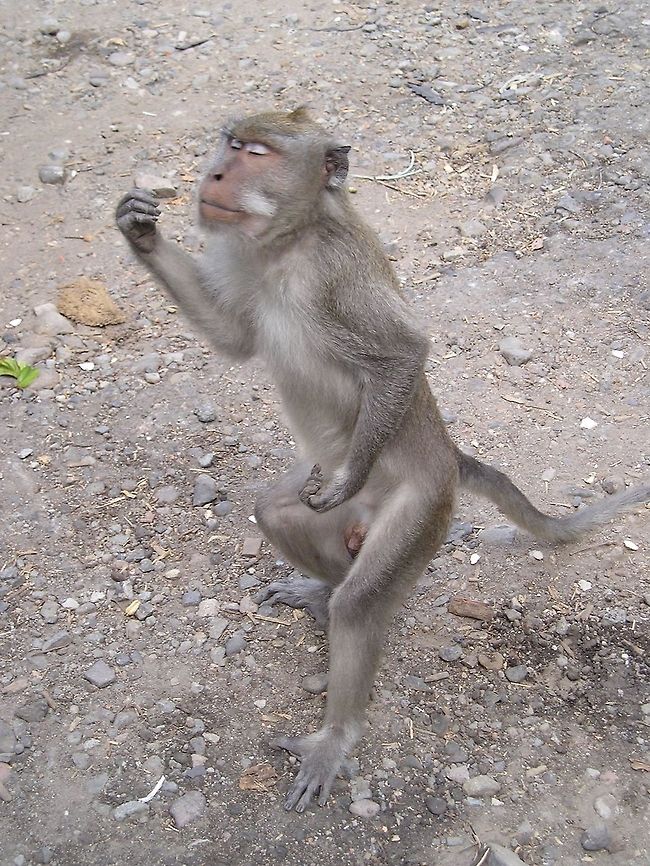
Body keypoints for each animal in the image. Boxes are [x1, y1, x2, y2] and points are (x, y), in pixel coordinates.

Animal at [116, 108, 650, 812]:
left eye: (257, 153)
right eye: (230, 144)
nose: (216, 175)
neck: (289, 243)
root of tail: (449, 456)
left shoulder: (337, 277)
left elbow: (401, 355)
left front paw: (346, 476)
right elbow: (234, 336)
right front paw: (139, 228)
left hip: (422, 504)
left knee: (365, 600)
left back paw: (335, 731)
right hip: (339, 512)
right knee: (280, 515)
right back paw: (323, 589)